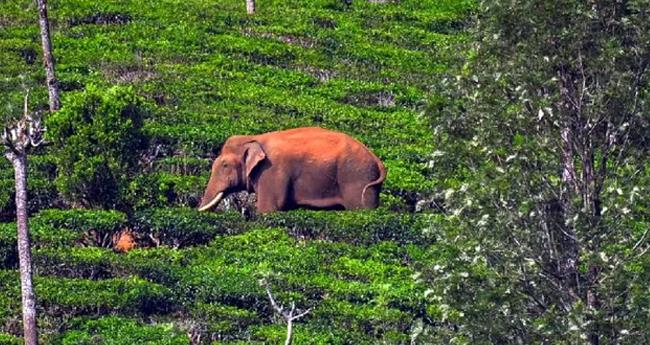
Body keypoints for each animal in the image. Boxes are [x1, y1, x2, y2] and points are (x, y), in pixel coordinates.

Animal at [197, 126, 384, 212]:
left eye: (225, 165)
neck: (254, 138)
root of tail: (377, 159)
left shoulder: (271, 171)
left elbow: (269, 209)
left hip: (357, 177)